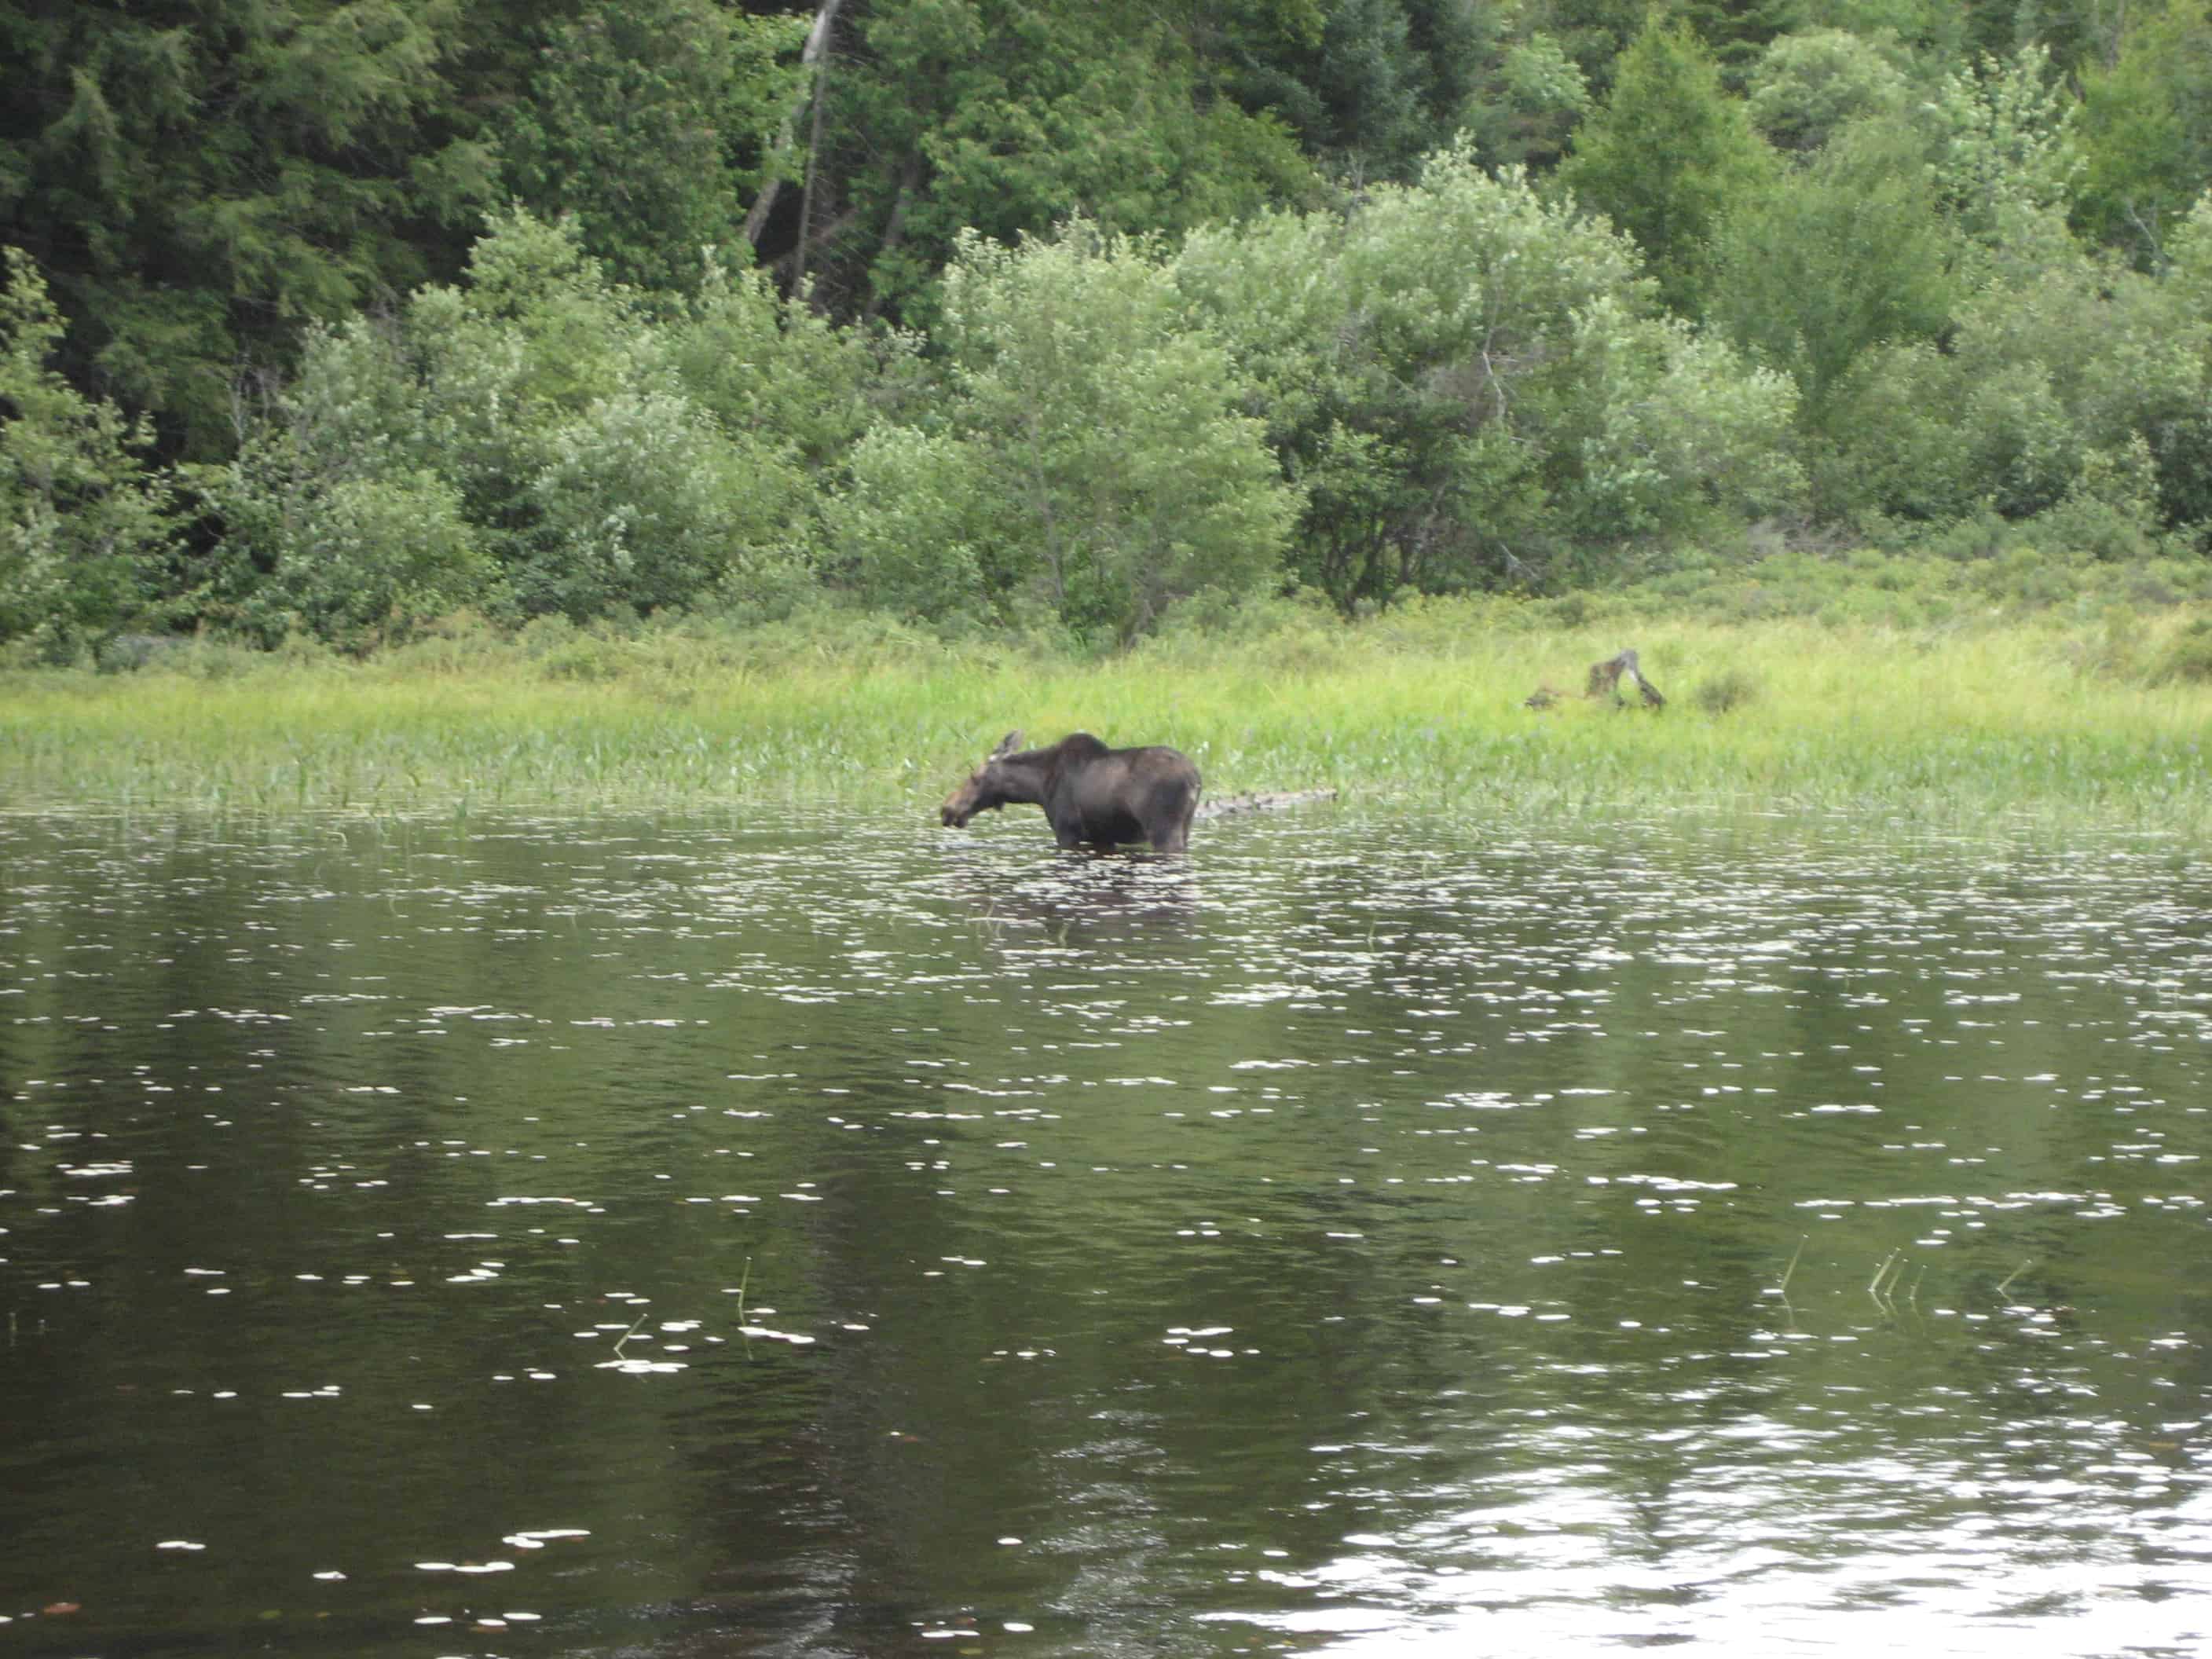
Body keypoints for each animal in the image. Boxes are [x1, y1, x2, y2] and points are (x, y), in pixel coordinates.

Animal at [942, 730, 1203, 849]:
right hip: (1185, 826)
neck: (1036, 788)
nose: (946, 809)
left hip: (1163, 829)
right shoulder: (1102, 838)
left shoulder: (1067, 832)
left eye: (974, 777)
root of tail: (1195, 779)